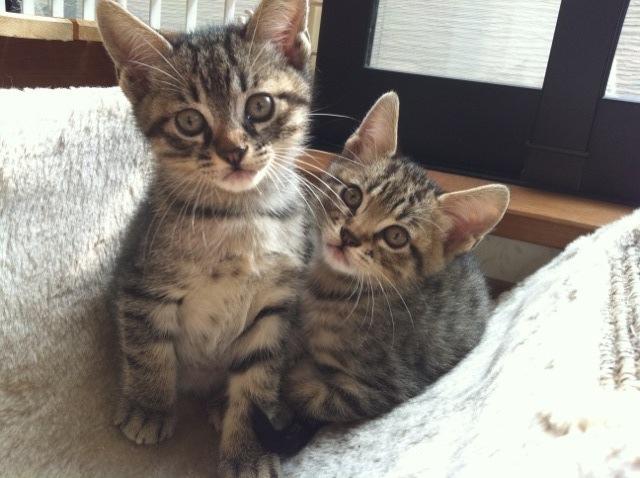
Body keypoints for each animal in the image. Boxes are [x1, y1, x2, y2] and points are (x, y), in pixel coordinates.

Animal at [95, 0, 312, 476]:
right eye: (190, 120)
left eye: (260, 105)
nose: (234, 151)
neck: (236, 216)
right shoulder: (142, 285)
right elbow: (148, 349)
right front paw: (149, 406)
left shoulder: (276, 304)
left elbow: (258, 379)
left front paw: (247, 449)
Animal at [252, 92, 510, 456]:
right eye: (352, 195)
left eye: (396, 236)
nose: (349, 236)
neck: (332, 289)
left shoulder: (384, 387)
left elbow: (310, 393)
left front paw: (292, 379)